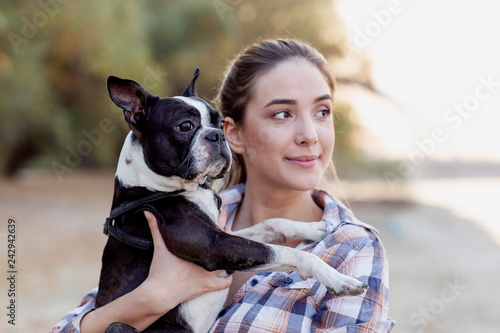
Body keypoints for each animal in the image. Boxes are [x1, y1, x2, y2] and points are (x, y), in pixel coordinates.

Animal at [95, 68, 368, 330]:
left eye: (220, 122)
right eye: (185, 126)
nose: (217, 135)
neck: (154, 189)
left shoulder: (226, 233)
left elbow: (269, 224)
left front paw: (313, 227)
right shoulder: (214, 245)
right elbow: (288, 253)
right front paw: (338, 279)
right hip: (121, 326)